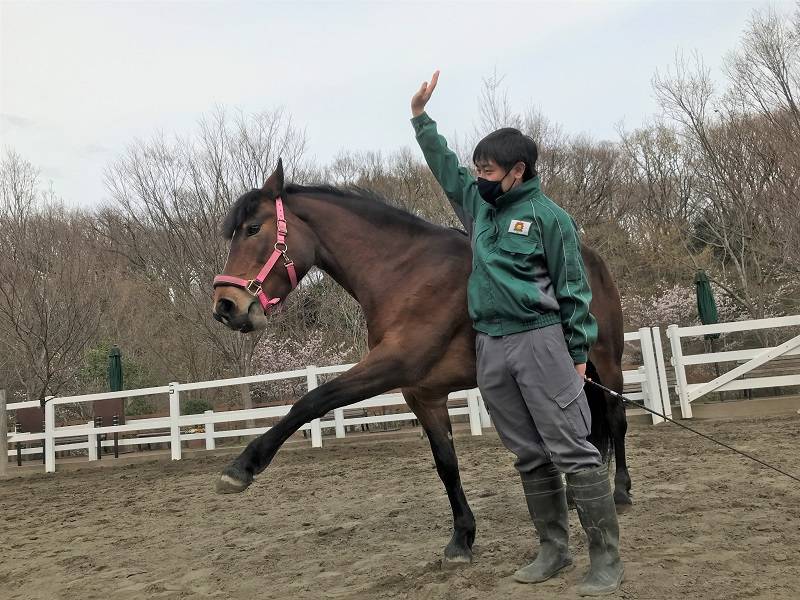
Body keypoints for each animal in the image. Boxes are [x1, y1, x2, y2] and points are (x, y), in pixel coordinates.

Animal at [211, 160, 629, 564]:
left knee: (615, 420)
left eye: (252, 229)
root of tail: (591, 257)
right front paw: (462, 538)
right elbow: (446, 464)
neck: (406, 274)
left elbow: (312, 401)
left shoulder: (393, 365)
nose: (225, 307)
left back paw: (621, 493)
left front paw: (243, 467)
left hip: (607, 364)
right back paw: (574, 497)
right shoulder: (422, 394)